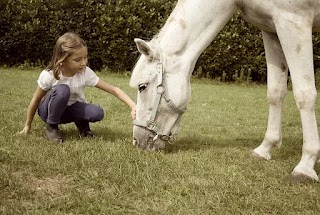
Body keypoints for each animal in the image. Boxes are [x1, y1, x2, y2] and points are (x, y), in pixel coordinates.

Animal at [129, 0, 320, 183]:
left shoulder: (294, 22)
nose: (137, 141)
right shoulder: (271, 31)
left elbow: (304, 94)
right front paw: (265, 148)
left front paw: (305, 166)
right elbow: (275, 92)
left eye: (142, 86)